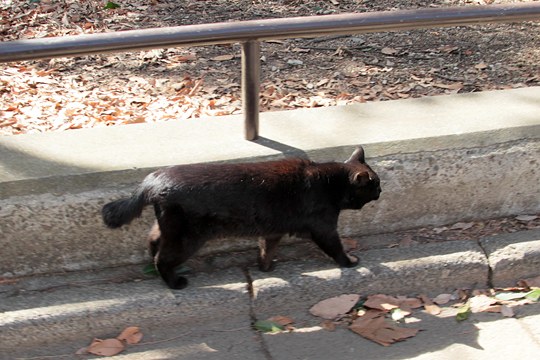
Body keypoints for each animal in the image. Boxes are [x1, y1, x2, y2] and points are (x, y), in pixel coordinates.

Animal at [102, 146, 380, 290]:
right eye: (375, 184)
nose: (380, 191)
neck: (330, 182)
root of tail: (153, 179)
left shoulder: (272, 230)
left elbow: (266, 249)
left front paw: (265, 268)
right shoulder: (324, 228)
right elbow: (336, 248)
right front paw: (350, 262)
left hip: (171, 228)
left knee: (152, 239)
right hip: (187, 238)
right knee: (163, 258)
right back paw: (174, 282)